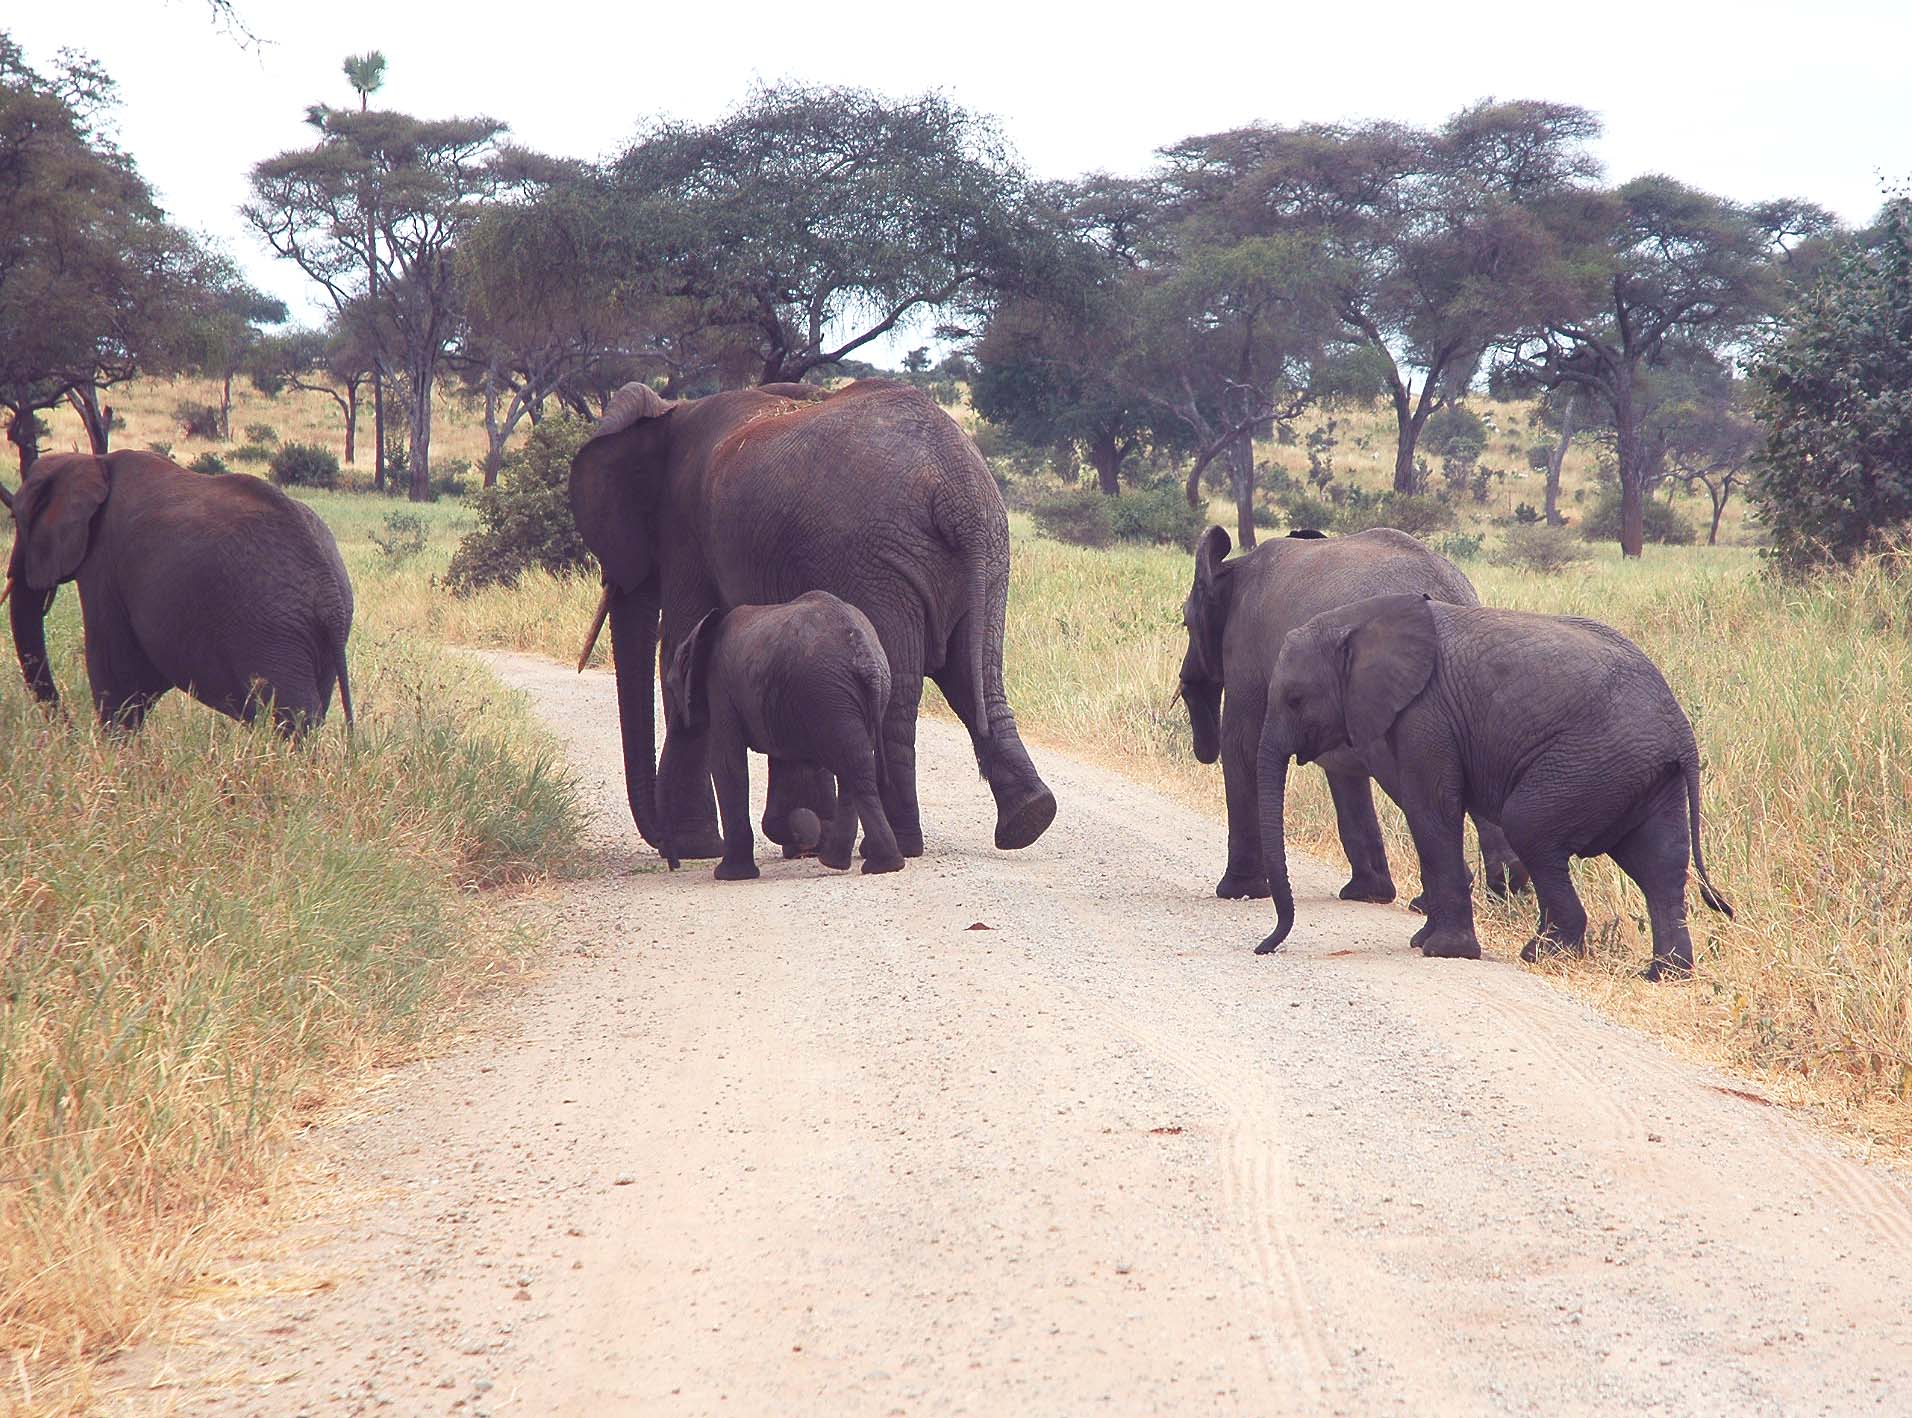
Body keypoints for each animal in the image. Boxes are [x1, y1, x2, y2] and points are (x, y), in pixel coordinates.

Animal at [4, 450, 354, 735]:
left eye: (16, 519)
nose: (70, 731)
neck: (92, 462)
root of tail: (330, 593)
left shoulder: (104, 566)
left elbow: (115, 671)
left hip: (273, 632)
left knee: (293, 716)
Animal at [661, 590, 903, 880]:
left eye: (671, 687)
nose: (674, 865)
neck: (703, 632)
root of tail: (865, 656)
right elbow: (783, 766)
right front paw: (805, 830)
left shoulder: (720, 688)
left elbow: (727, 764)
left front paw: (729, 875)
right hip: (844, 695)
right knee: (855, 768)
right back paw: (865, 864)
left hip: (825, 693)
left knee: (851, 766)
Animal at [1178, 524, 1524, 905]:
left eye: (1185, 623)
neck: (1233, 567)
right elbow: (1342, 769)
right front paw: (1369, 895)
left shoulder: (1245, 649)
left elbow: (1242, 747)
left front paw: (1238, 892)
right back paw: (1507, 889)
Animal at [1255, 593, 1734, 980]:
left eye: (1295, 699)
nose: (1263, 948)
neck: (1356, 621)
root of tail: (1681, 733)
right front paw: (1424, 941)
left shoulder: (1425, 716)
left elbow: (1431, 810)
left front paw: (1443, 952)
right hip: (1646, 774)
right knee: (1660, 864)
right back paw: (1662, 975)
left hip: (1595, 761)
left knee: (1530, 827)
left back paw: (1543, 954)